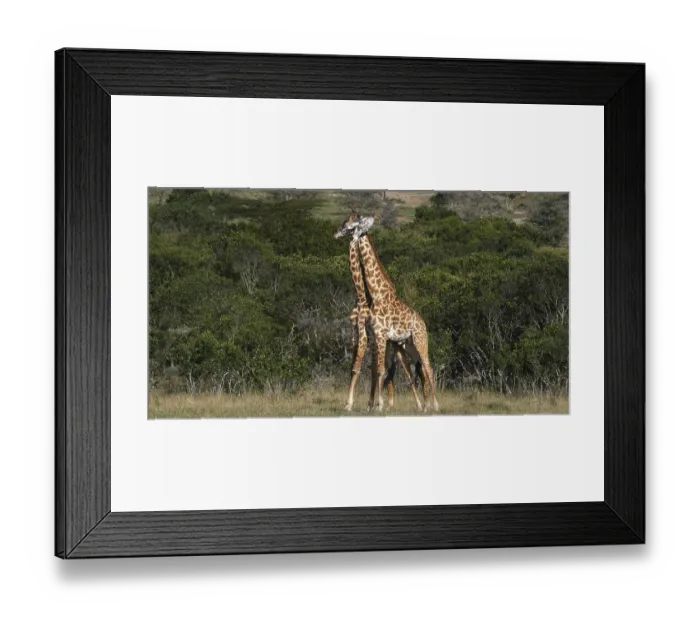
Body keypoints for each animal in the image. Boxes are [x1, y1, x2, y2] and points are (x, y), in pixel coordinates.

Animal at [335, 215, 439, 412]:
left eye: (349, 225)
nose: (336, 233)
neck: (371, 294)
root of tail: (423, 322)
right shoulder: (366, 335)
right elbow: (367, 368)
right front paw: (369, 404)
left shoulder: (376, 335)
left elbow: (376, 369)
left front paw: (376, 405)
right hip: (407, 345)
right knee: (417, 369)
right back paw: (424, 406)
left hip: (420, 341)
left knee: (428, 367)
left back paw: (434, 405)